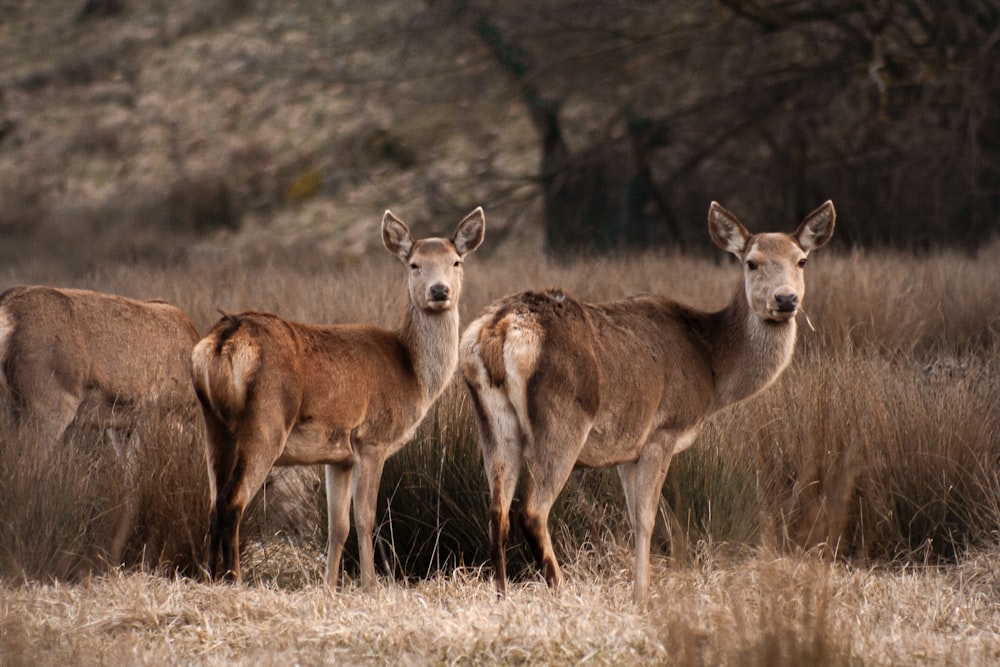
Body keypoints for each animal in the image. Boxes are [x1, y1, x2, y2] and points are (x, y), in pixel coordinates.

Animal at [193, 206, 486, 588]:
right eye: (414, 264)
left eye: (456, 261)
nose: (439, 290)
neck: (411, 374)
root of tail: (223, 339)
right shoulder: (372, 438)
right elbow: (365, 517)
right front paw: (371, 585)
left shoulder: (338, 456)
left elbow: (337, 525)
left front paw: (330, 585)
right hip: (265, 423)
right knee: (233, 503)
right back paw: (234, 579)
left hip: (213, 425)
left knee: (213, 504)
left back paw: (209, 578)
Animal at [460, 198, 836, 604]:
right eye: (751, 262)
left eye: (802, 260)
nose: (786, 299)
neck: (712, 369)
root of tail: (497, 330)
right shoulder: (664, 429)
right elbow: (647, 519)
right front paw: (643, 594)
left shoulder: (626, 447)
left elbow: (633, 517)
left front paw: (638, 590)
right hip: (561, 420)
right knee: (532, 510)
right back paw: (561, 590)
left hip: (493, 425)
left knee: (497, 510)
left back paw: (502, 596)